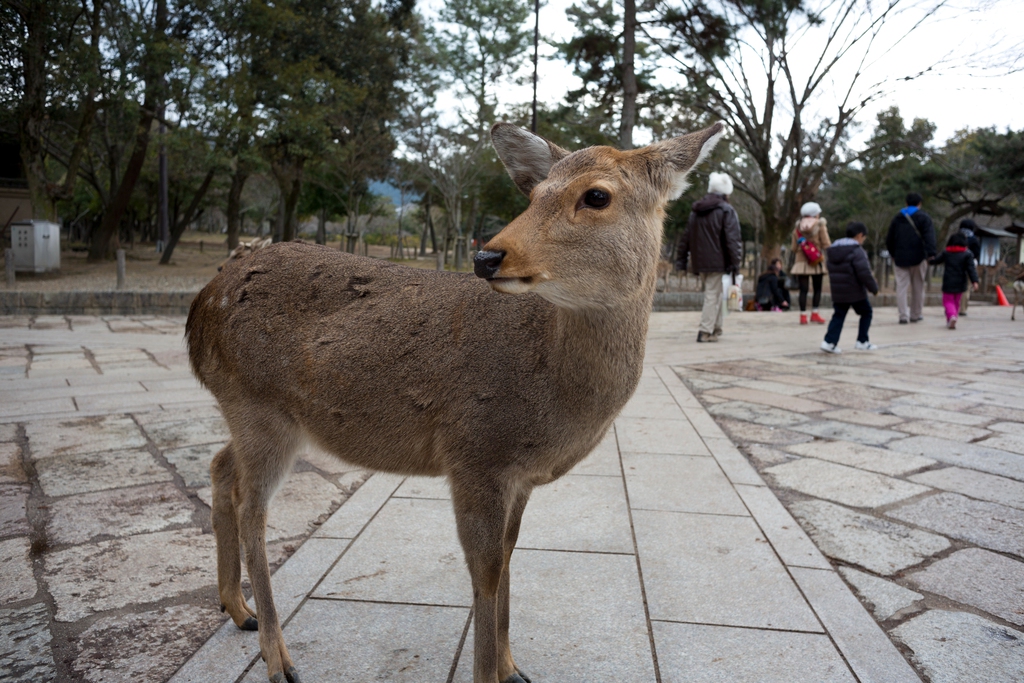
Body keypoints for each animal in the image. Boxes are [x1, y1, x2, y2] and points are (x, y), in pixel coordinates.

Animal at [186, 120, 729, 679]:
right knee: (252, 508)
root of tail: (199, 308)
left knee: (221, 466)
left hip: (259, 414)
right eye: (534, 192)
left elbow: (509, 555)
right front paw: (491, 670)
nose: (487, 257)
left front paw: (513, 667)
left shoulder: (518, 475)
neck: (551, 396)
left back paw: (239, 610)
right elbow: (485, 570)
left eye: (597, 195)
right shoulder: (474, 452)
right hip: (257, 403)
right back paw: (278, 658)